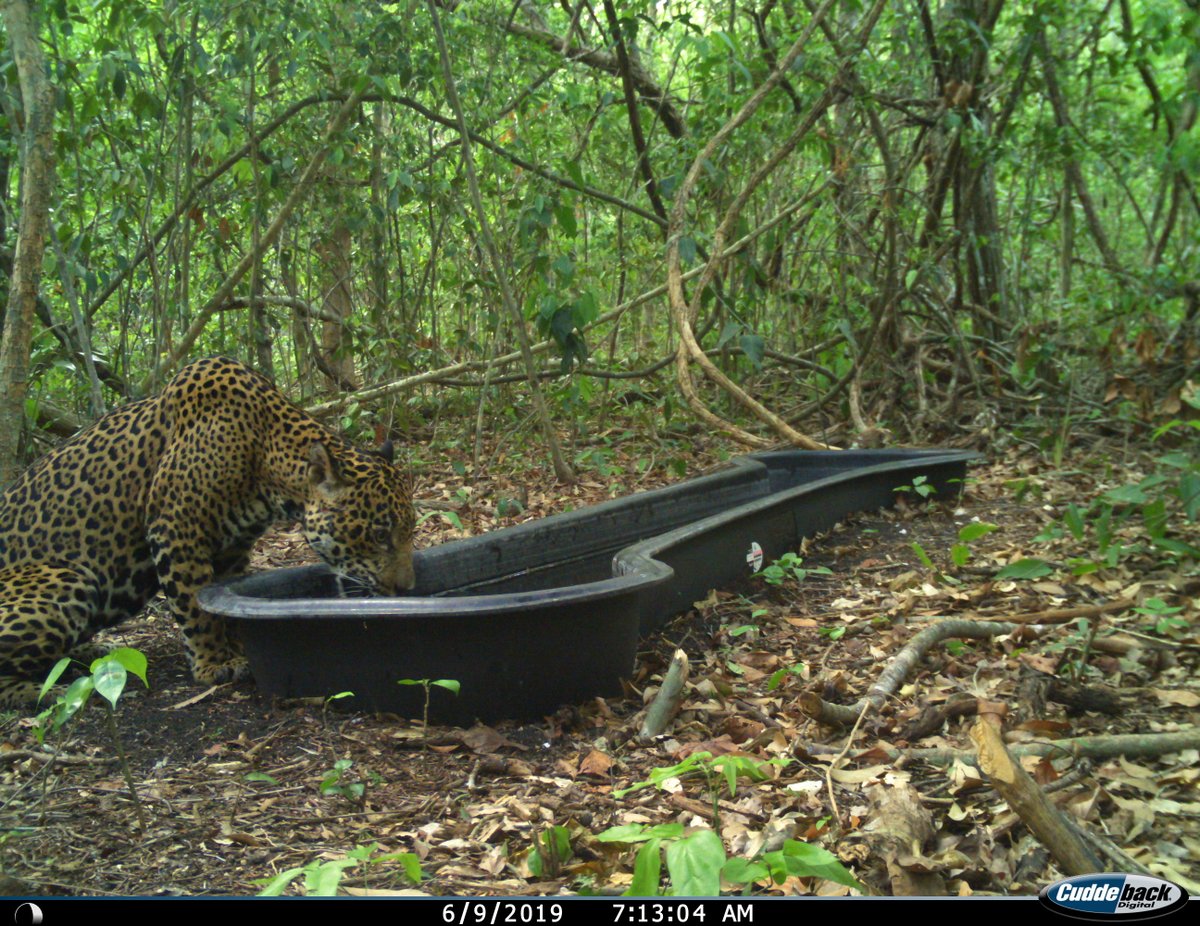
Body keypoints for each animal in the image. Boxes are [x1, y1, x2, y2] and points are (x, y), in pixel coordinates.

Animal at [0, 356, 416, 707]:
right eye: (380, 535)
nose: (407, 589)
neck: (264, 457)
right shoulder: (176, 529)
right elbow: (195, 605)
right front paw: (213, 664)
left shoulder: (233, 547)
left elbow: (222, 603)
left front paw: (239, 652)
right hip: (67, 577)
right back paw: (44, 692)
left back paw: (88, 652)